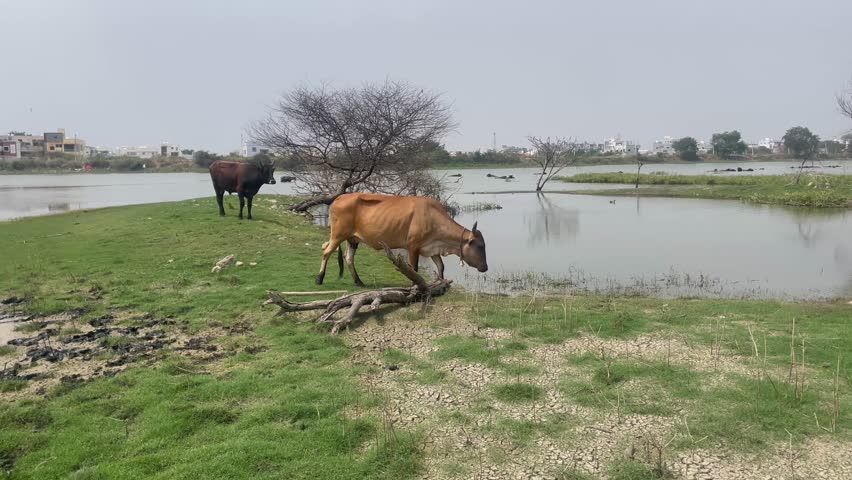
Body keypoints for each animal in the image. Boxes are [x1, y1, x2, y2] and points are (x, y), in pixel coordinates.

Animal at [315, 193, 488, 286]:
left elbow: (441, 267)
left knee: (348, 258)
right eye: (479, 246)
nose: (485, 267)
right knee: (326, 252)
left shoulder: (432, 248)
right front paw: (415, 286)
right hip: (338, 235)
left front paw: (442, 284)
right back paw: (319, 278)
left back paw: (359, 282)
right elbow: (414, 269)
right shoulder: (413, 246)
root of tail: (339, 197)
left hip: (353, 239)